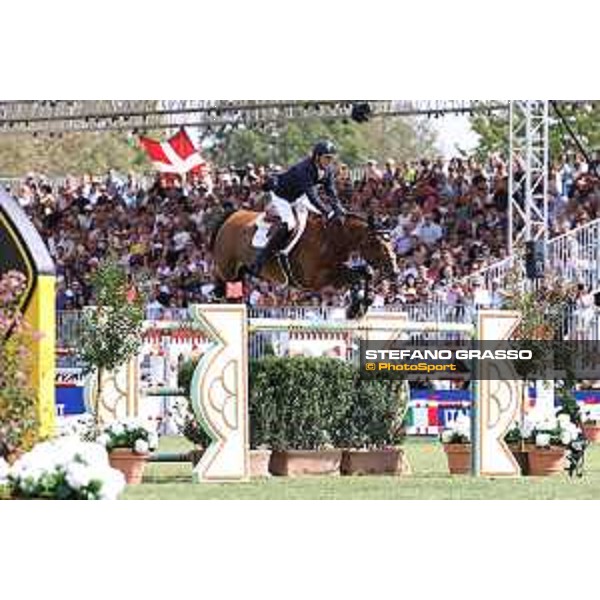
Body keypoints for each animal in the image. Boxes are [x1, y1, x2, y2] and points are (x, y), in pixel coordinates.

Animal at [210, 209, 398, 316]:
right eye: (376, 242)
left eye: (390, 239)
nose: (394, 271)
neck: (331, 239)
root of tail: (231, 216)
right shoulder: (318, 279)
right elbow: (359, 275)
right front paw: (358, 306)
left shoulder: (337, 272)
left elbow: (365, 273)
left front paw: (360, 305)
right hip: (228, 271)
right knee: (220, 284)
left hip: (240, 272)